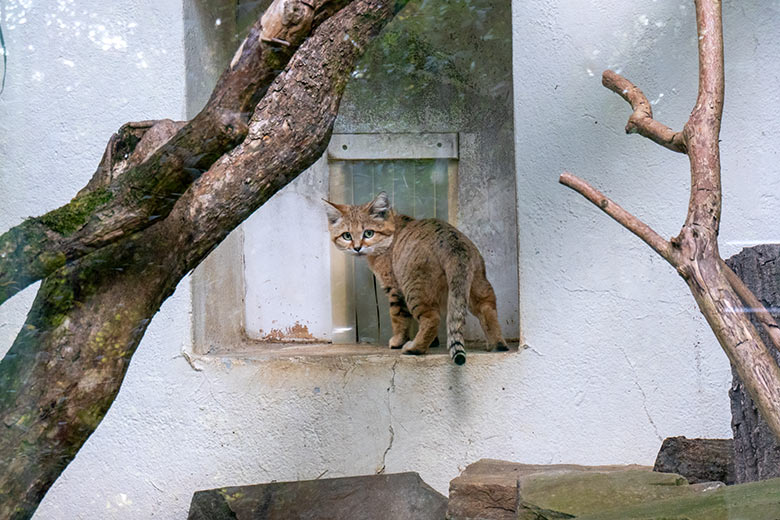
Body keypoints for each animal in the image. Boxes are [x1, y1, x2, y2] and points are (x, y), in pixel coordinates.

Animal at [322, 192, 506, 366]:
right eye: (347, 236)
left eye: (368, 233)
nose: (357, 248)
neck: (391, 234)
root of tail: (453, 244)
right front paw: (433, 343)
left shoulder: (394, 290)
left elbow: (398, 318)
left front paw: (398, 341)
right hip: (477, 286)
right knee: (487, 309)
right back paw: (497, 345)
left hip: (414, 290)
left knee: (432, 319)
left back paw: (414, 348)